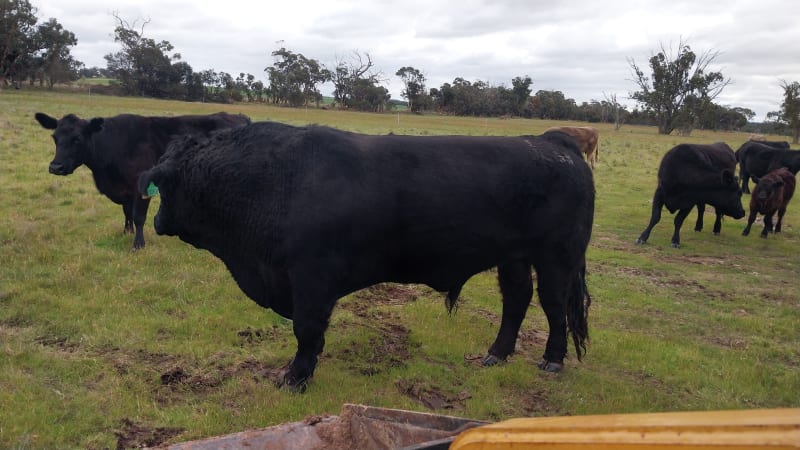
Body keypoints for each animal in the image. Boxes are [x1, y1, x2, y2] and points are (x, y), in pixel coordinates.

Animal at [35, 111, 251, 250]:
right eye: (55, 137)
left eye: (77, 139)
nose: (55, 167)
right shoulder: (124, 191)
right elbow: (127, 212)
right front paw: (126, 232)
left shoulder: (142, 187)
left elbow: (139, 216)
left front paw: (138, 244)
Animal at [137, 122, 595, 392]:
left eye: (165, 181)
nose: (156, 220)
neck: (277, 178)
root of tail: (552, 142)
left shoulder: (311, 278)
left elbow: (307, 331)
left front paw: (295, 377)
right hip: (513, 258)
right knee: (516, 300)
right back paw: (497, 353)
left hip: (557, 258)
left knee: (553, 306)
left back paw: (552, 360)